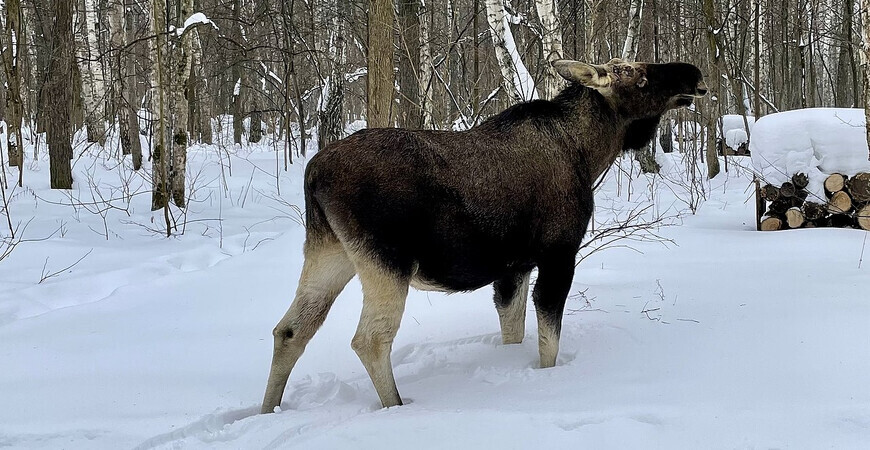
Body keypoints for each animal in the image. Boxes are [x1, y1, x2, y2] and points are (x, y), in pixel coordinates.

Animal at [260, 58, 708, 414]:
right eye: (637, 74)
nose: (694, 73)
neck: (590, 152)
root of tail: (314, 172)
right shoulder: (558, 252)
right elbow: (548, 343)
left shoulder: (513, 268)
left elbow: (513, 331)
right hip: (386, 262)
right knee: (370, 339)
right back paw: (397, 407)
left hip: (329, 252)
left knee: (290, 329)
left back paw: (268, 411)